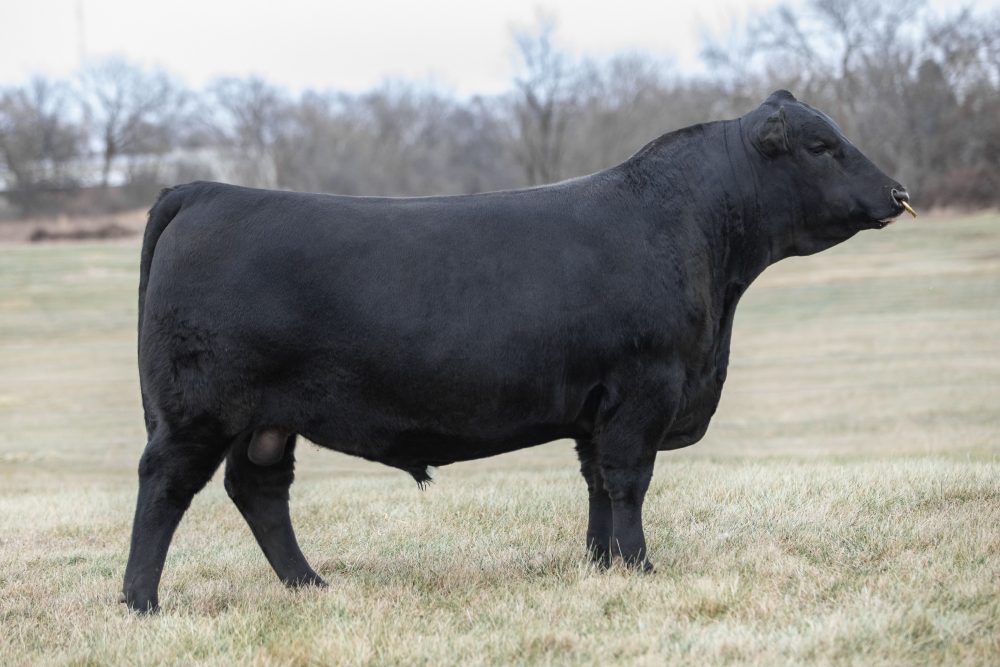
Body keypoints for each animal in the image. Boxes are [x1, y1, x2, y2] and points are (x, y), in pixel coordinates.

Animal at [121, 91, 913, 612]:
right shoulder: (644, 389)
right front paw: (641, 568)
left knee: (258, 489)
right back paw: (140, 601)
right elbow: (630, 480)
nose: (898, 191)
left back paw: (310, 585)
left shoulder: (599, 405)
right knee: (165, 487)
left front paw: (600, 566)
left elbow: (597, 483)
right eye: (821, 146)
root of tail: (205, 190)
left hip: (265, 419)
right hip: (196, 411)